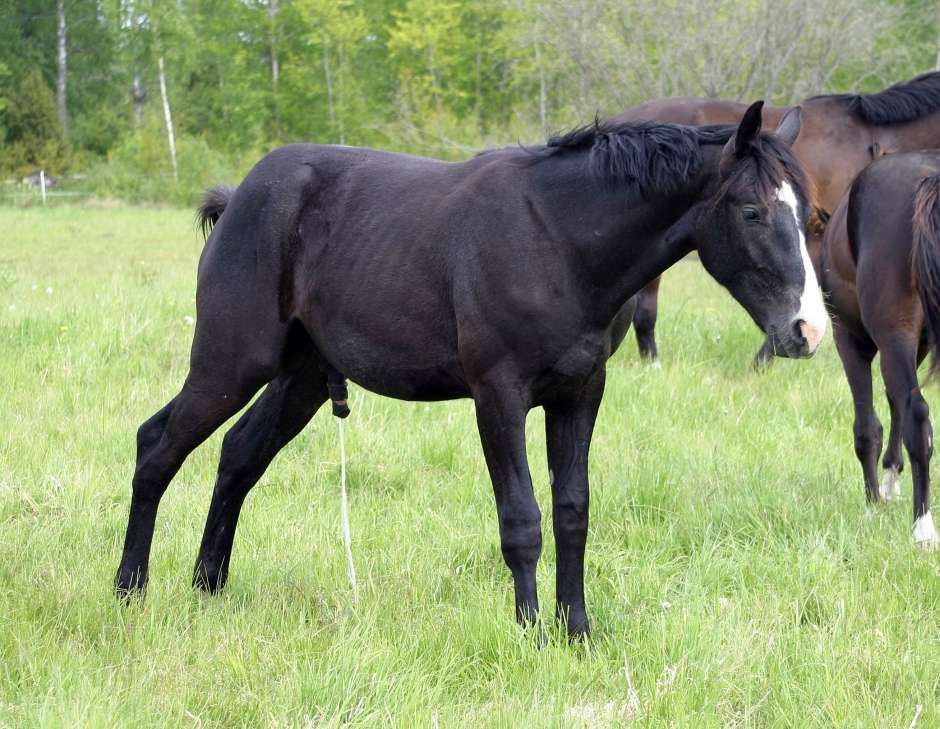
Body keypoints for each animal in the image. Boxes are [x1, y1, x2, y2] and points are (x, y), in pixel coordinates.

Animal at [115, 102, 824, 636]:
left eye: (813, 217)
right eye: (752, 211)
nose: (807, 329)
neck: (558, 240)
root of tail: (239, 197)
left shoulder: (580, 393)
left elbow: (572, 512)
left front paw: (578, 630)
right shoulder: (498, 396)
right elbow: (522, 520)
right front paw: (530, 632)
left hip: (302, 377)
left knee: (238, 455)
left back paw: (208, 586)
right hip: (231, 362)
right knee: (157, 445)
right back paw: (130, 589)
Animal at [820, 151, 940, 544]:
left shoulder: (850, 341)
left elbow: (868, 426)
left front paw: (873, 500)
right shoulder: (915, 347)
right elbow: (893, 403)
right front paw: (890, 478)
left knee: (917, 415)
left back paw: (923, 527)